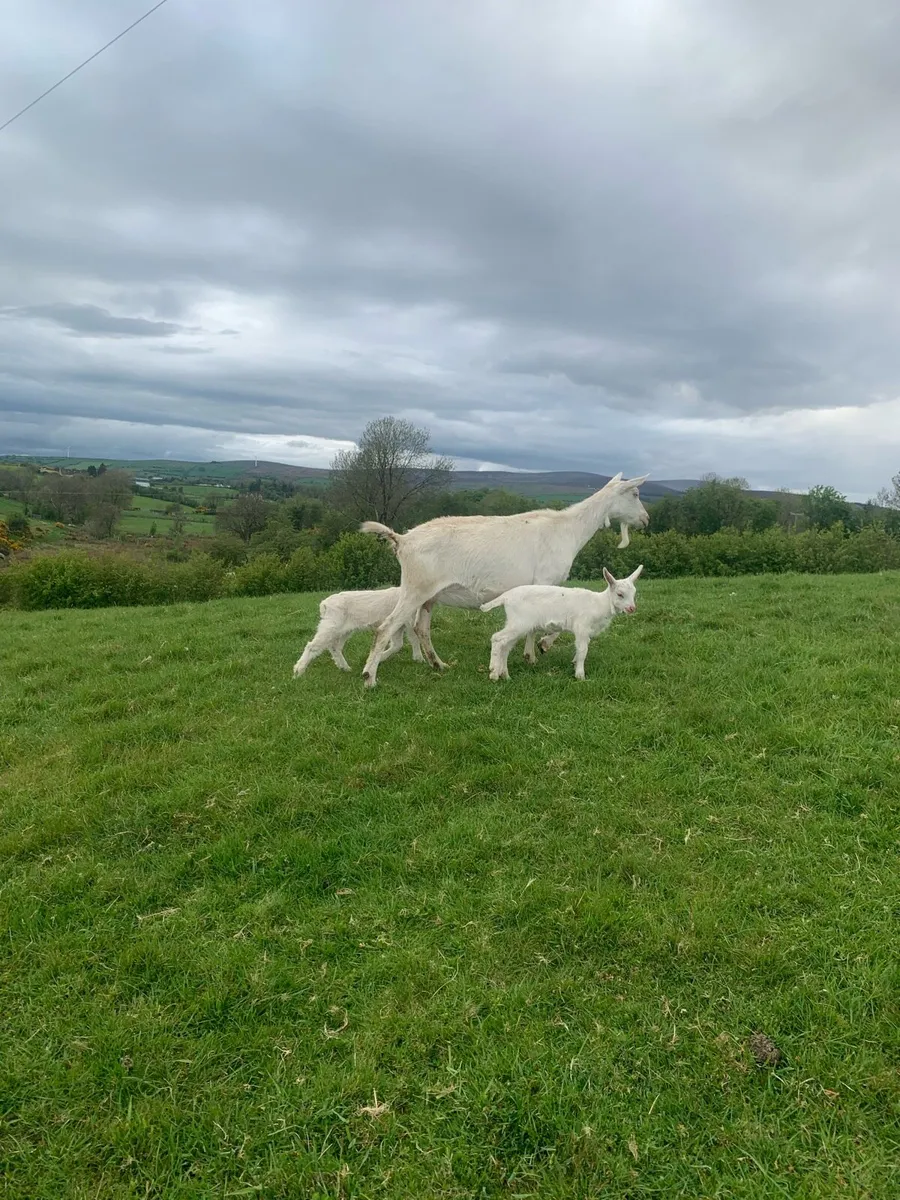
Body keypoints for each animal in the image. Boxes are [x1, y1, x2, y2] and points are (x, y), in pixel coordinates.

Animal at [292, 587, 423, 677]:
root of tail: (325, 604)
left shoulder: (399, 627)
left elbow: (397, 644)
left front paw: (380, 657)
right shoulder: (409, 621)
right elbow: (414, 639)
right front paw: (419, 659)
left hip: (343, 631)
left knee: (334, 647)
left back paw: (345, 668)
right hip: (331, 627)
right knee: (312, 646)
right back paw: (299, 670)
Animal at [481, 565, 644, 681]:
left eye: (634, 594)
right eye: (620, 594)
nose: (632, 608)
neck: (599, 603)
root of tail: (506, 597)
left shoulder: (587, 631)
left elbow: (582, 648)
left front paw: (575, 664)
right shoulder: (581, 627)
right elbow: (583, 649)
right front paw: (580, 675)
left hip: (515, 622)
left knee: (505, 646)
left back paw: (504, 675)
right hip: (520, 622)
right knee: (497, 638)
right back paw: (493, 671)